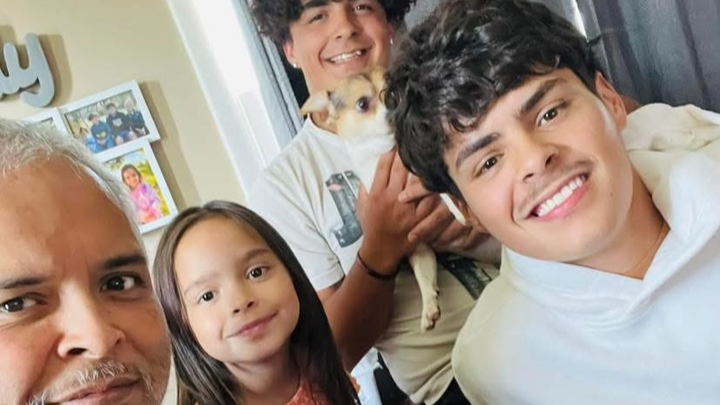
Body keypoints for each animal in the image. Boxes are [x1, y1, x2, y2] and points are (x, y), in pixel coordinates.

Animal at [301, 67, 468, 331]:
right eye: (363, 104)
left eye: (393, 95)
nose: (393, 112)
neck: (385, 149)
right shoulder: (415, 242)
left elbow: (441, 187)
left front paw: (459, 211)